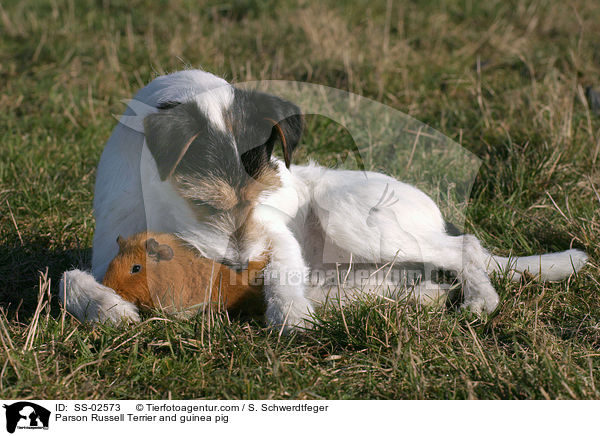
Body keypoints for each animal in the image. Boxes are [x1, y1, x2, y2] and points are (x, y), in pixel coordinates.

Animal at [59, 69, 584, 330]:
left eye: (264, 193)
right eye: (204, 204)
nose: (239, 269)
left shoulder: (273, 234)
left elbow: (281, 269)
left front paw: (288, 316)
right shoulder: (110, 249)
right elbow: (67, 281)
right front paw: (108, 308)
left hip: (353, 218)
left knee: (467, 246)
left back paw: (479, 298)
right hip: (359, 271)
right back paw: (423, 297)